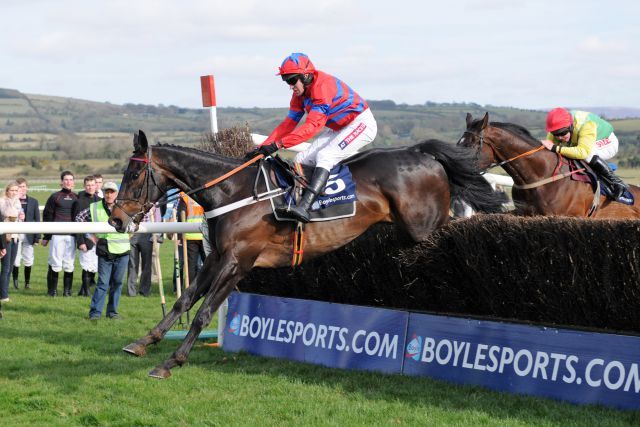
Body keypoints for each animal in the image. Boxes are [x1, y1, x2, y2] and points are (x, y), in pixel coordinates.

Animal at [109, 130, 504, 378]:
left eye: (134, 175)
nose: (115, 219)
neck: (233, 191)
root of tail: (422, 153)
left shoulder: (238, 262)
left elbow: (203, 312)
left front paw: (171, 362)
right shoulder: (218, 256)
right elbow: (184, 300)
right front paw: (144, 342)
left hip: (427, 224)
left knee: (466, 223)